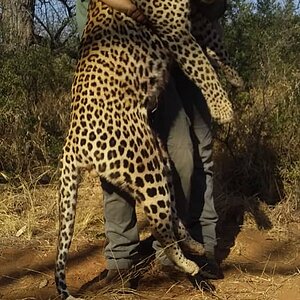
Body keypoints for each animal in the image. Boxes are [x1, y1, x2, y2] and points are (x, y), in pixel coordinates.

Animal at [55, 0, 234, 298]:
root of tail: (71, 142)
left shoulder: (196, 18)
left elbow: (216, 43)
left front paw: (234, 76)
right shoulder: (173, 29)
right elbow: (200, 66)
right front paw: (223, 108)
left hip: (157, 158)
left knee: (170, 215)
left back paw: (194, 245)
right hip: (146, 167)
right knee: (161, 228)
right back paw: (188, 264)